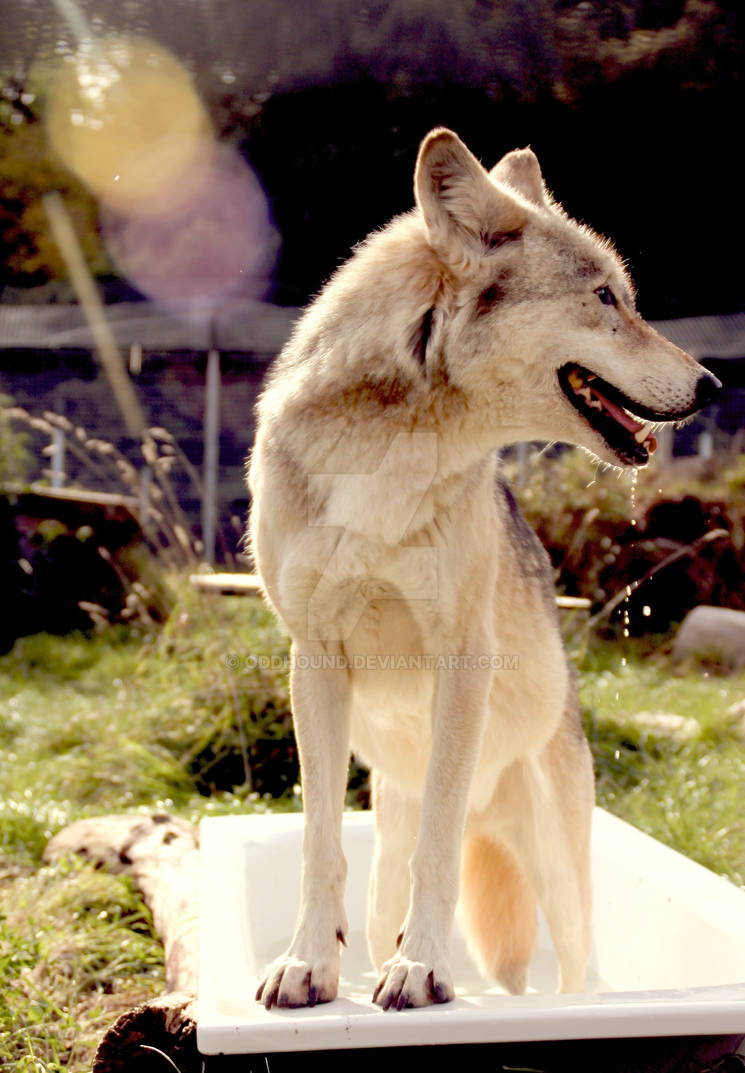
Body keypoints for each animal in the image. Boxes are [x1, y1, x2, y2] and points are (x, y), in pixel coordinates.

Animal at [247, 128, 719, 1010]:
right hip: (394, 839)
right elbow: (318, 842)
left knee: (569, 960)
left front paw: (423, 969)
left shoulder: (461, 657)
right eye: (605, 298)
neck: (384, 459)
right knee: (389, 883)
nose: (710, 384)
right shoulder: (314, 658)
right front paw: (307, 966)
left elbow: (437, 840)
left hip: (561, 880)